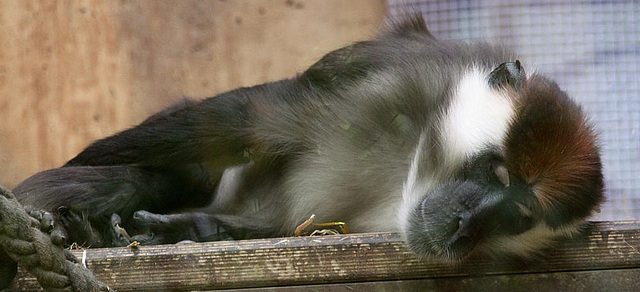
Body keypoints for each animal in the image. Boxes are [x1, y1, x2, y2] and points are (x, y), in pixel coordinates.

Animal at [15, 15, 604, 262]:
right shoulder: (401, 75)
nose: (464, 224)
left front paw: (193, 229)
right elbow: (241, 120)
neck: (408, 167)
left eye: (516, 216)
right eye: (492, 172)